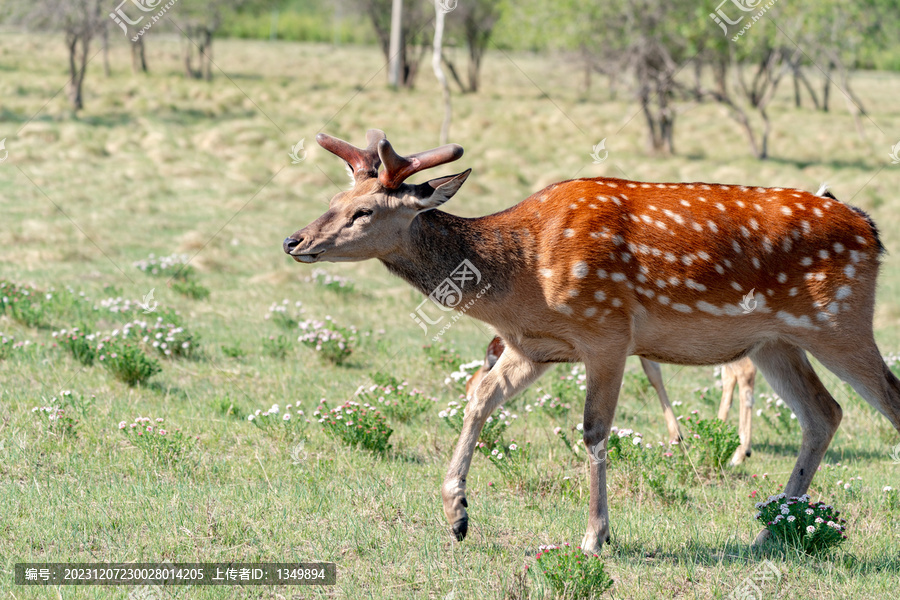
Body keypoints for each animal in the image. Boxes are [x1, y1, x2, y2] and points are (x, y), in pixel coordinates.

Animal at [284, 129, 900, 552]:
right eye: (332, 201)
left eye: (363, 211)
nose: (295, 240)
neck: (520, 279)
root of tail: (871, 231)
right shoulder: (531, 346)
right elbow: (478, 396)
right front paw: (456, 513)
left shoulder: (606, 331)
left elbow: (595, 431)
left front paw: (595, 537)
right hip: (775, 342)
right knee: (824, 413)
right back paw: (768, 531)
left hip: (840, 322)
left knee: (886, 400)